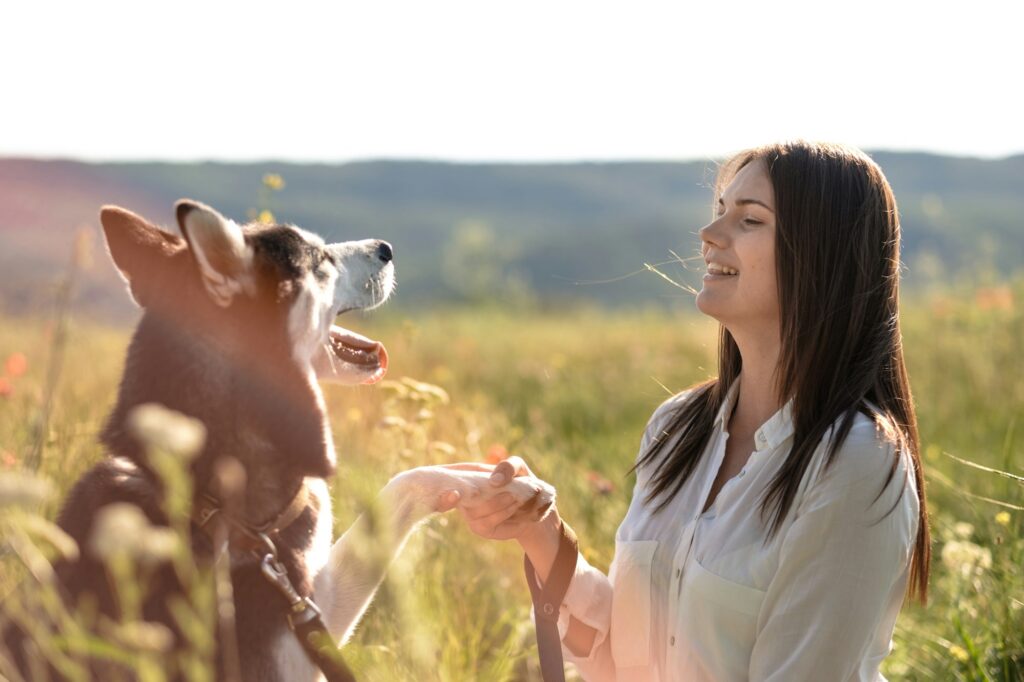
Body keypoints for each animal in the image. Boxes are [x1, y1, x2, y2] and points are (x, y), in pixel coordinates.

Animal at [2, 199, 552, 675]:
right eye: (321, 260)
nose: (387, 247)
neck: (216, 504)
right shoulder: (298, 635)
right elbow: (400, 493)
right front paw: (494, 486)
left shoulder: (312, 605)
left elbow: (401, 488)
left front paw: (491, 478)